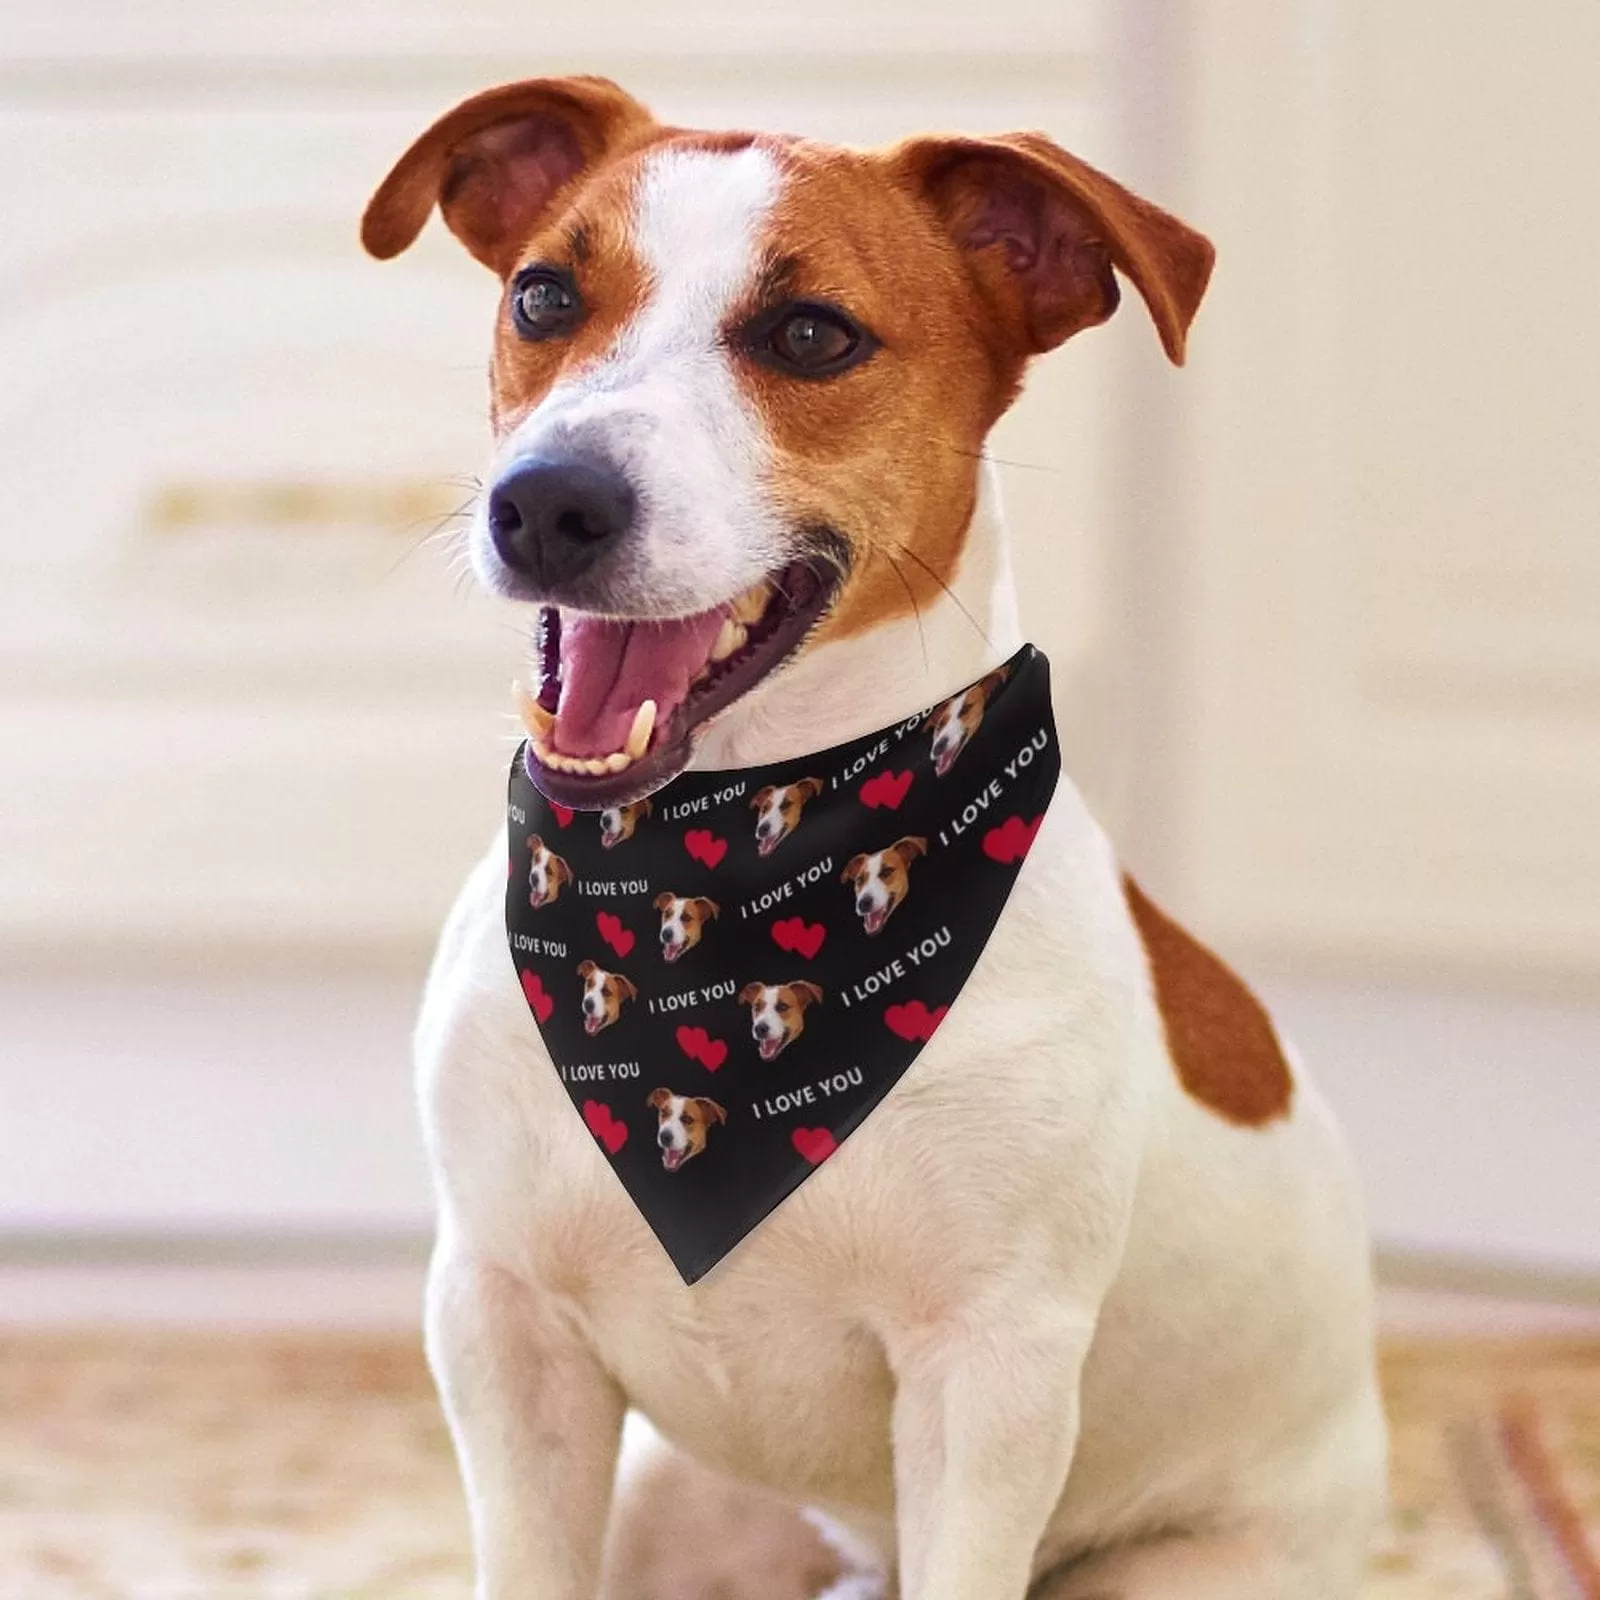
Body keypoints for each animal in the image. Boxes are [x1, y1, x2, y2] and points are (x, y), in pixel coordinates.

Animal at [374, 75, 1388, 1600]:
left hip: (1180, 1567)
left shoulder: (991, 1375)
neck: (729, 841)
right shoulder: (503, 1327)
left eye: (811, 335)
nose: (548, 501)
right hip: (671, 1502)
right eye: (545, 295)